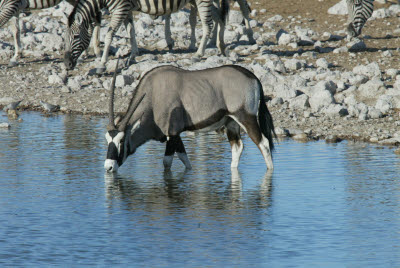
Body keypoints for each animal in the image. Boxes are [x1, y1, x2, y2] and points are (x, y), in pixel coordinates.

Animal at [64, 0, 223, 73]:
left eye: (76, 36)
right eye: (66, 38)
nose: (66, 64)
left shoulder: (120, 8)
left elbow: (109, 35)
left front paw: (102, 64)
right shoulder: (126, 8)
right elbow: (131, 32)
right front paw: (133, 56)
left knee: (208, 25)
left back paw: (199, 54)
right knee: (220, 16)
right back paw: (221, 46)